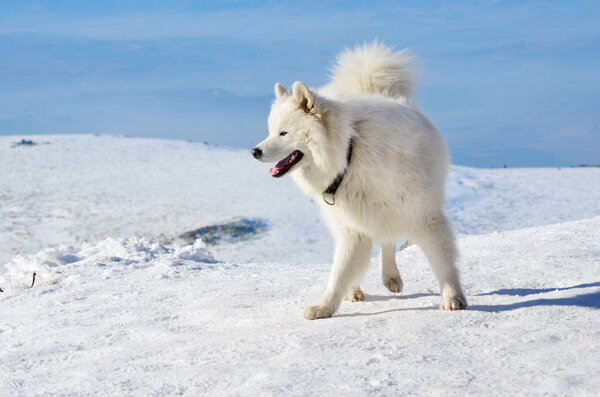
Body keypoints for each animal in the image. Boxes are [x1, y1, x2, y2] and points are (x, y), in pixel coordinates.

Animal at [251, 41, 466, 318]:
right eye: (270, 131)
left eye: (283, 132)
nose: (254, 151)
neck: (349, 152)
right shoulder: (351, 227)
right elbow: (339, 272)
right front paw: (325, 307)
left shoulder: (422, 212)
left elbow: (442, 260)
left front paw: (453, 298)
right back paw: (356, 290)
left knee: (387, 240)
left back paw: (390, 277)